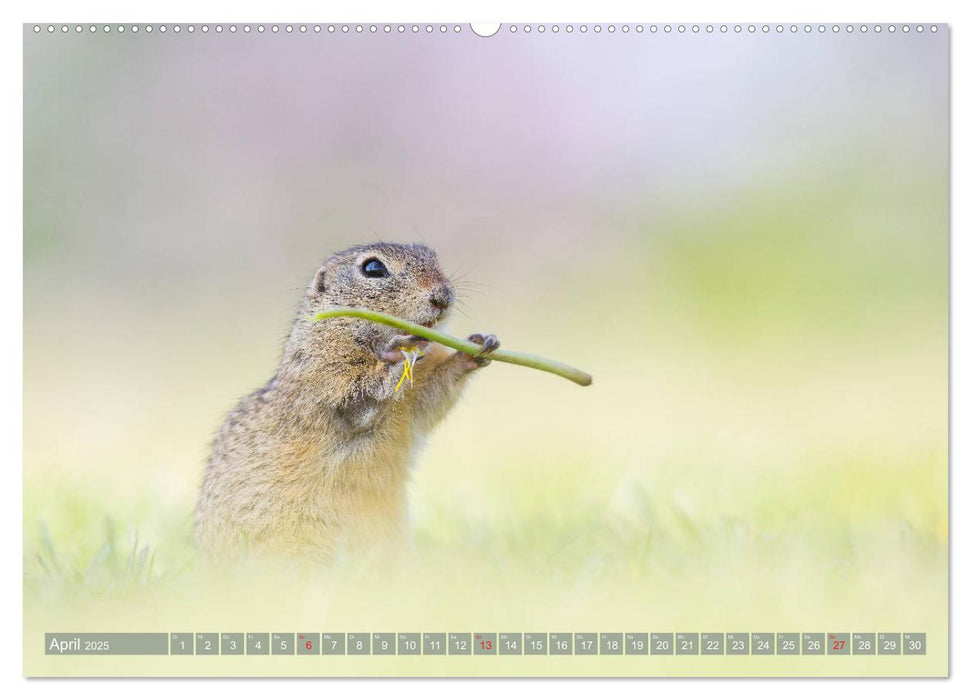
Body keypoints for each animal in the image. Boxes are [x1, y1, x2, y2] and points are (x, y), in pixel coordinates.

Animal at [197, 243, 502, 560]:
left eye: (434, 257)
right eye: (373, 268)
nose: (443, 296)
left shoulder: (418, 397)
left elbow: (436, 393)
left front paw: (479, 346)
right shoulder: (324, 378)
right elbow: (359, 400)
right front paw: (400, 351)